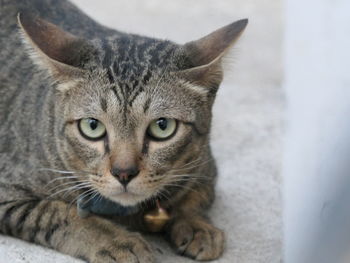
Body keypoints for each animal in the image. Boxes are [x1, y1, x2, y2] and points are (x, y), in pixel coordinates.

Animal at [0, 0, 246, 262]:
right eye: (92, 126)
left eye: (162, 126)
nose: (124, 173)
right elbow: (60, 213)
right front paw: (117, 241)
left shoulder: (206, 167)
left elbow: (195, 196)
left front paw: (198, 225)